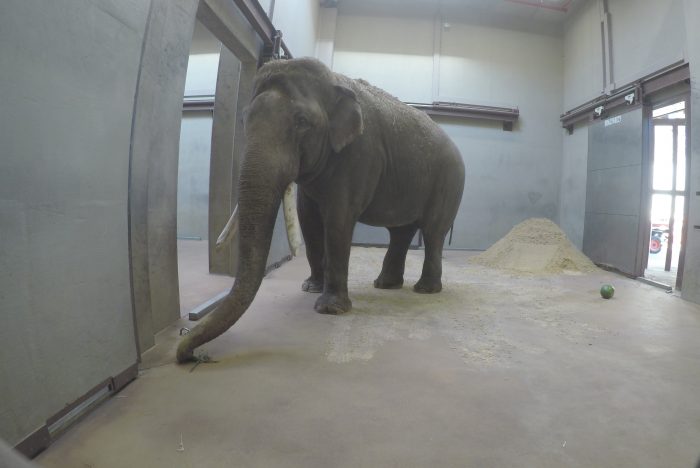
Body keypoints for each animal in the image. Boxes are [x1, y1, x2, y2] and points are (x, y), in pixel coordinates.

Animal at [178, 55, 468, 362]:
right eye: (244, 119)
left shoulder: (359, 153)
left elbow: (338, 220)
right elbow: (309, 221)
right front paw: (309, 288)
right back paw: (385, 285)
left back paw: (424, 290)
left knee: (433, 232)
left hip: (450, 180)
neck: (333, 80)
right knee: (400, 232)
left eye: (302, 121)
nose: (191, 355)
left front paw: (330, 309)